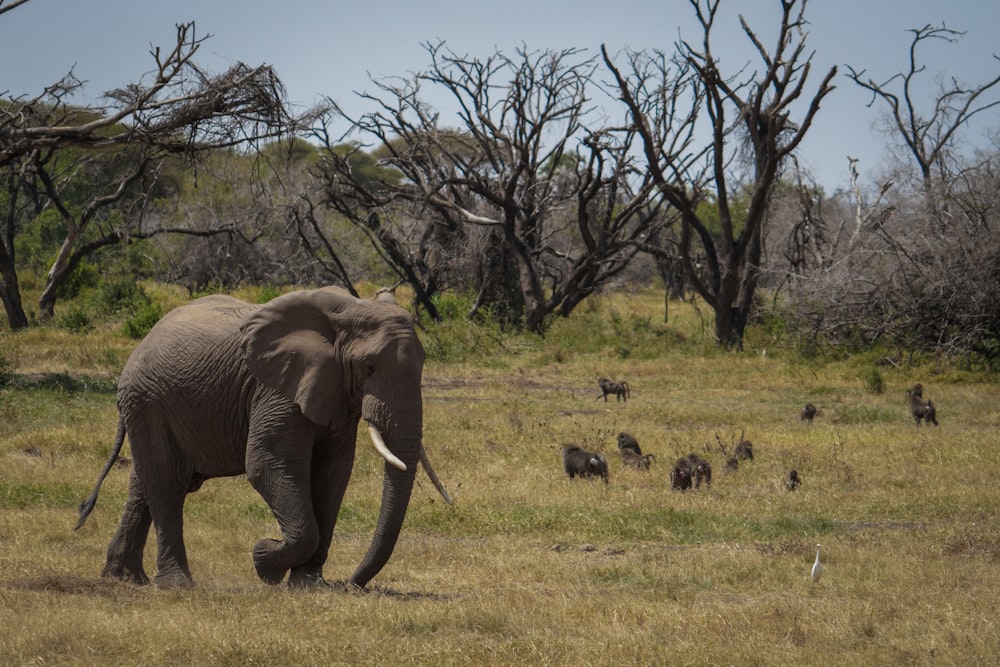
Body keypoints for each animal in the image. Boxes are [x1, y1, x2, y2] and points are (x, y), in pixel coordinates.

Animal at [76, 288, 452, 588]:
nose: (350, 584)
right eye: (369, 367)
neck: (346, 312)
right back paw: (176, 585)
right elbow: (267, 462)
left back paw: (125, 578)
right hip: (147, 401)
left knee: (144, 484)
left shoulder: (333, 394)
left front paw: (307, 584)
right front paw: (263, 561)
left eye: (422, 364)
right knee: (167, 484)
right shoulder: (275, 388)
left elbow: (333, 475)